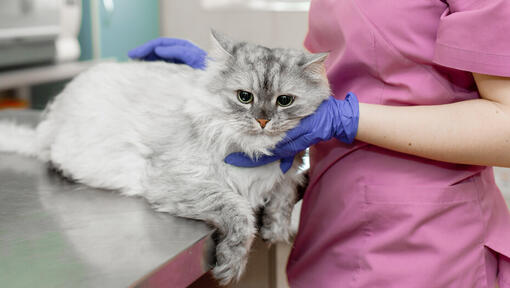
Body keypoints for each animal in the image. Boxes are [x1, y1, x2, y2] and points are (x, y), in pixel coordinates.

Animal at [0, 31, 330, 284]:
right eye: (244, 97)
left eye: (284, 101)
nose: (263, 121)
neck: (254, 153)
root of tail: (49, 122)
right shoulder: (176, 182)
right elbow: (240, 213)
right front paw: (231, 264)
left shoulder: (289, 173)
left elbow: (282, 199)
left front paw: (276, 231)